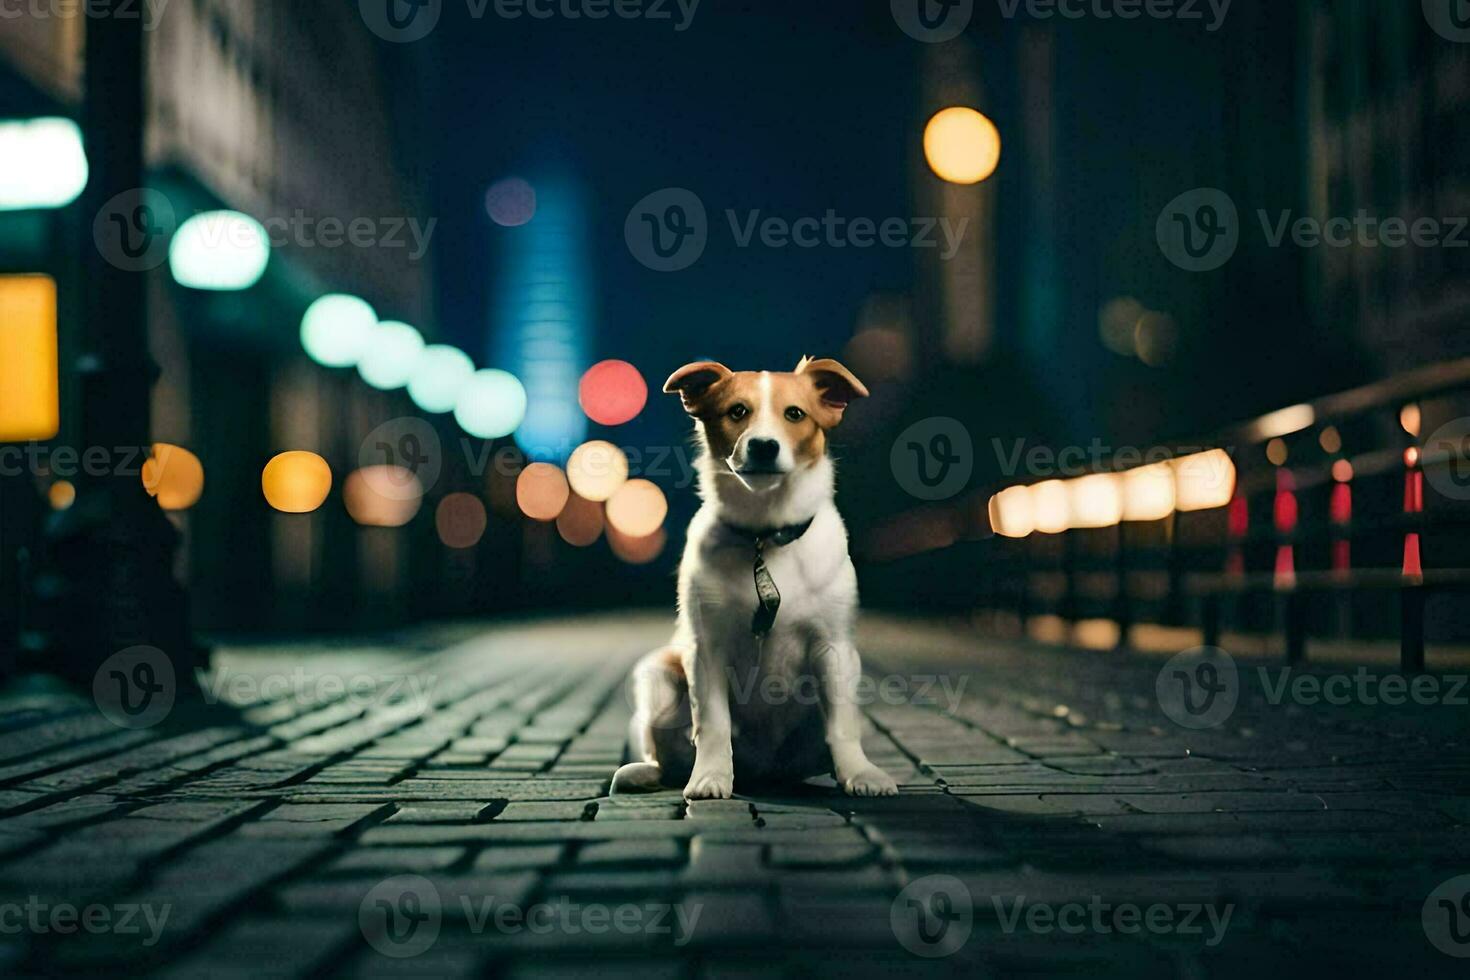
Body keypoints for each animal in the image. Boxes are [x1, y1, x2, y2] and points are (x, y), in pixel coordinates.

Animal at [608, 357, 893, 799]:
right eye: (737, 411)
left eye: (795, 414)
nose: (763, 445)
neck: (765, 534)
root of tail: (763, 771)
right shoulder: (705, 648)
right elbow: (711, 723)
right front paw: (710, 776)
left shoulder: (834, 648)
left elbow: (842, 725)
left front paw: (859, 773)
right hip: (657, 672)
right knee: (668, 755)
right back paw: (646, 772)